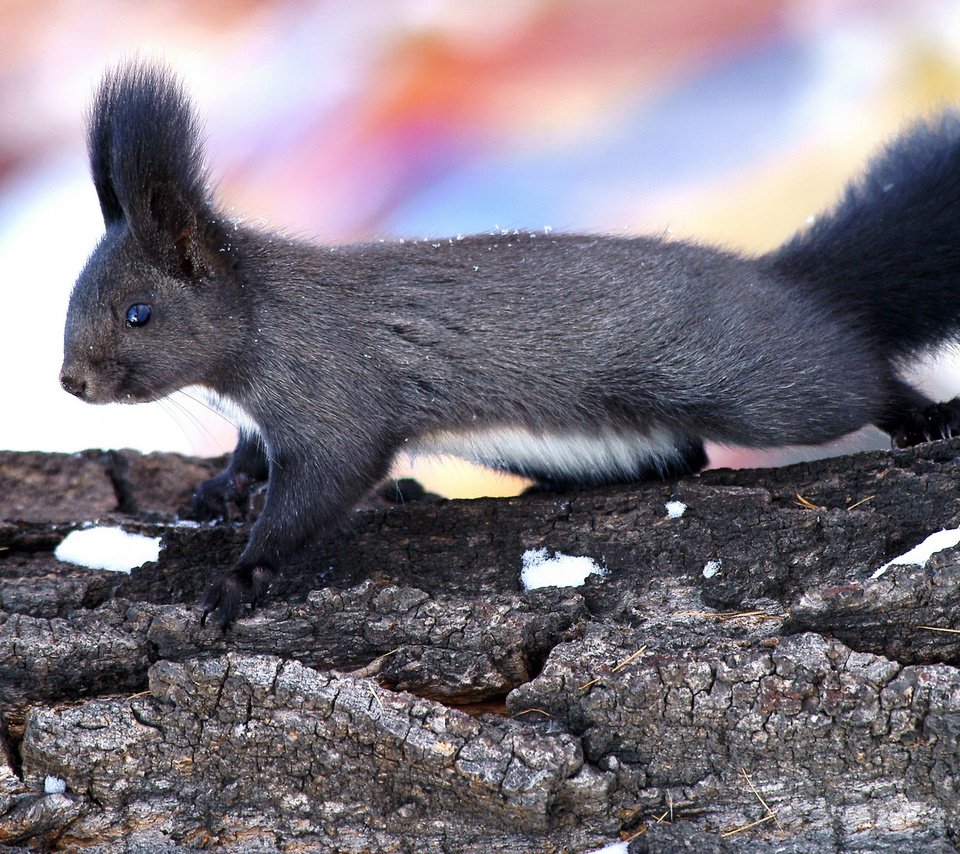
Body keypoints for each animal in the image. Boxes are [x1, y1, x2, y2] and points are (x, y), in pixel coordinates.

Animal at [60, 63, 960, 628]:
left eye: (139, 313)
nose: (71, 382)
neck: (262, 326)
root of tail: (788, 285)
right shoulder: (267, 415)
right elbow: (251, 455)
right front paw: (217, 490)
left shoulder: (334, 393)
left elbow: (324, 486)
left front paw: (243, 575)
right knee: (687, 456)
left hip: (756, 383)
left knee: (848, 384)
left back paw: (922, 418)